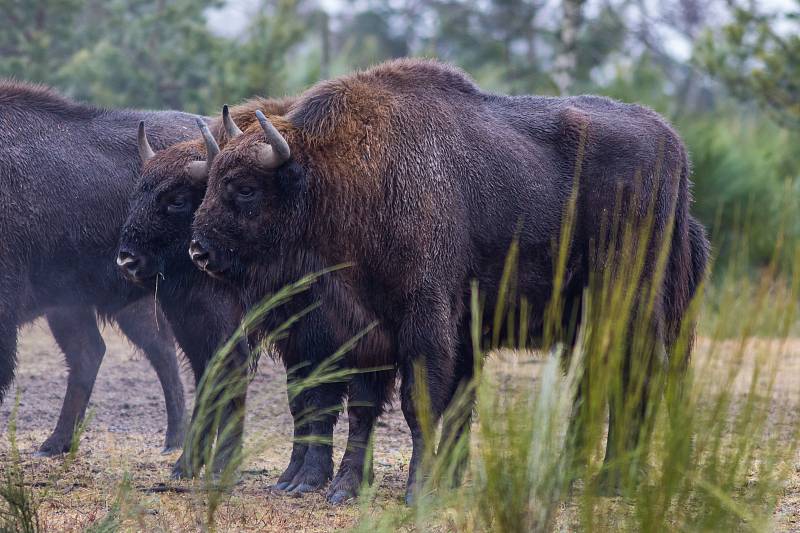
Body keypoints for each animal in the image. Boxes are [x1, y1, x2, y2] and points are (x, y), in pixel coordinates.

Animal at [191, 60, 708, 500]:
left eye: (245, 188)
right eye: (211, 182)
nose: (199, 250)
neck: (344, 174)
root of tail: (675, 145)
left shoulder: (424, 320)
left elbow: (419, 404)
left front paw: (419, 491)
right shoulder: (366, 330)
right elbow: (364, 408)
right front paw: (346, 488)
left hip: (629, 306)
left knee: (636, 378)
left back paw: (615, 482)